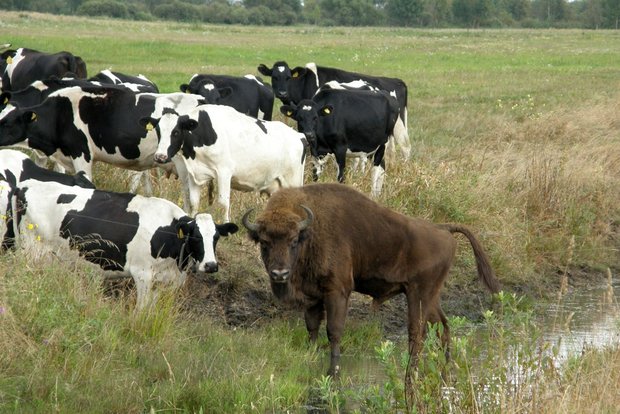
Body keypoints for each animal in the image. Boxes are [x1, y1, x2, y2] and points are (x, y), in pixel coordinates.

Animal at [12, 180, 240, 308]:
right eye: (195, 237)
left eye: (216, 238)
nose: (211, 265)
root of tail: (26, 185)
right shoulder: (142, 274)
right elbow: (142, 309)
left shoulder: (169, 281)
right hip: (31, 250)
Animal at [242, 184, 498, 376]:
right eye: (264, 242)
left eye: (294, 240)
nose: (279, 274)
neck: (312, 231)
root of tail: (443, 228)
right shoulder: (313, 296)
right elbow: (312, 328)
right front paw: (311, 353)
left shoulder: (338, 291)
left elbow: (334, 330)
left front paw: (334, 366)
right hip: (430, 296)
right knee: (442, 326)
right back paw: (444, 364)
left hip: (419, 295)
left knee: (417, 332)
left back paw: (412, 368)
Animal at [258, 60, 412, 158]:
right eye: (274, 77)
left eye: (288, 77)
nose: (282, 93)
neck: (306, 82)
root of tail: (397, 81)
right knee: (391, 150)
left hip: (399, 125)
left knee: (405, 147)